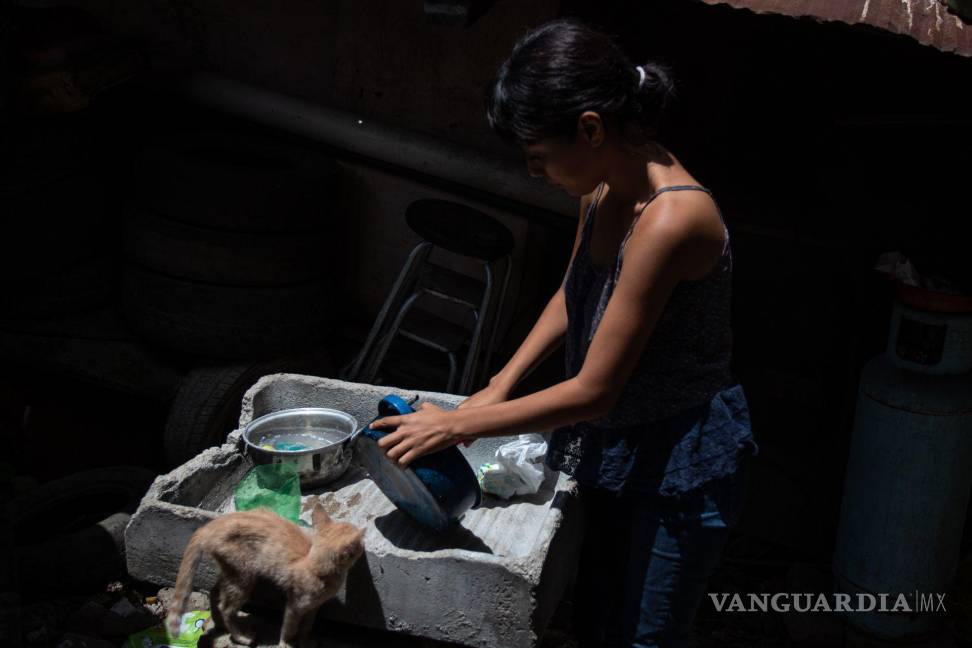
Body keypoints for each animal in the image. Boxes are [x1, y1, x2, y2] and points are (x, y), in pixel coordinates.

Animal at [167, 504, 364, 644]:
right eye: (361, 545)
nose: (363, 545)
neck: (314, 566)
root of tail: (209, 526)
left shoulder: (314, 607)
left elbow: (307, 626)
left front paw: (305, 641)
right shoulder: (295, 605)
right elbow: (289, 628)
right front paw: (286, 643)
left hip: (231, 572)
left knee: (215, 594)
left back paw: (220, 624)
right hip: (243, 577)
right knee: (226, 607)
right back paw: (240, 637)